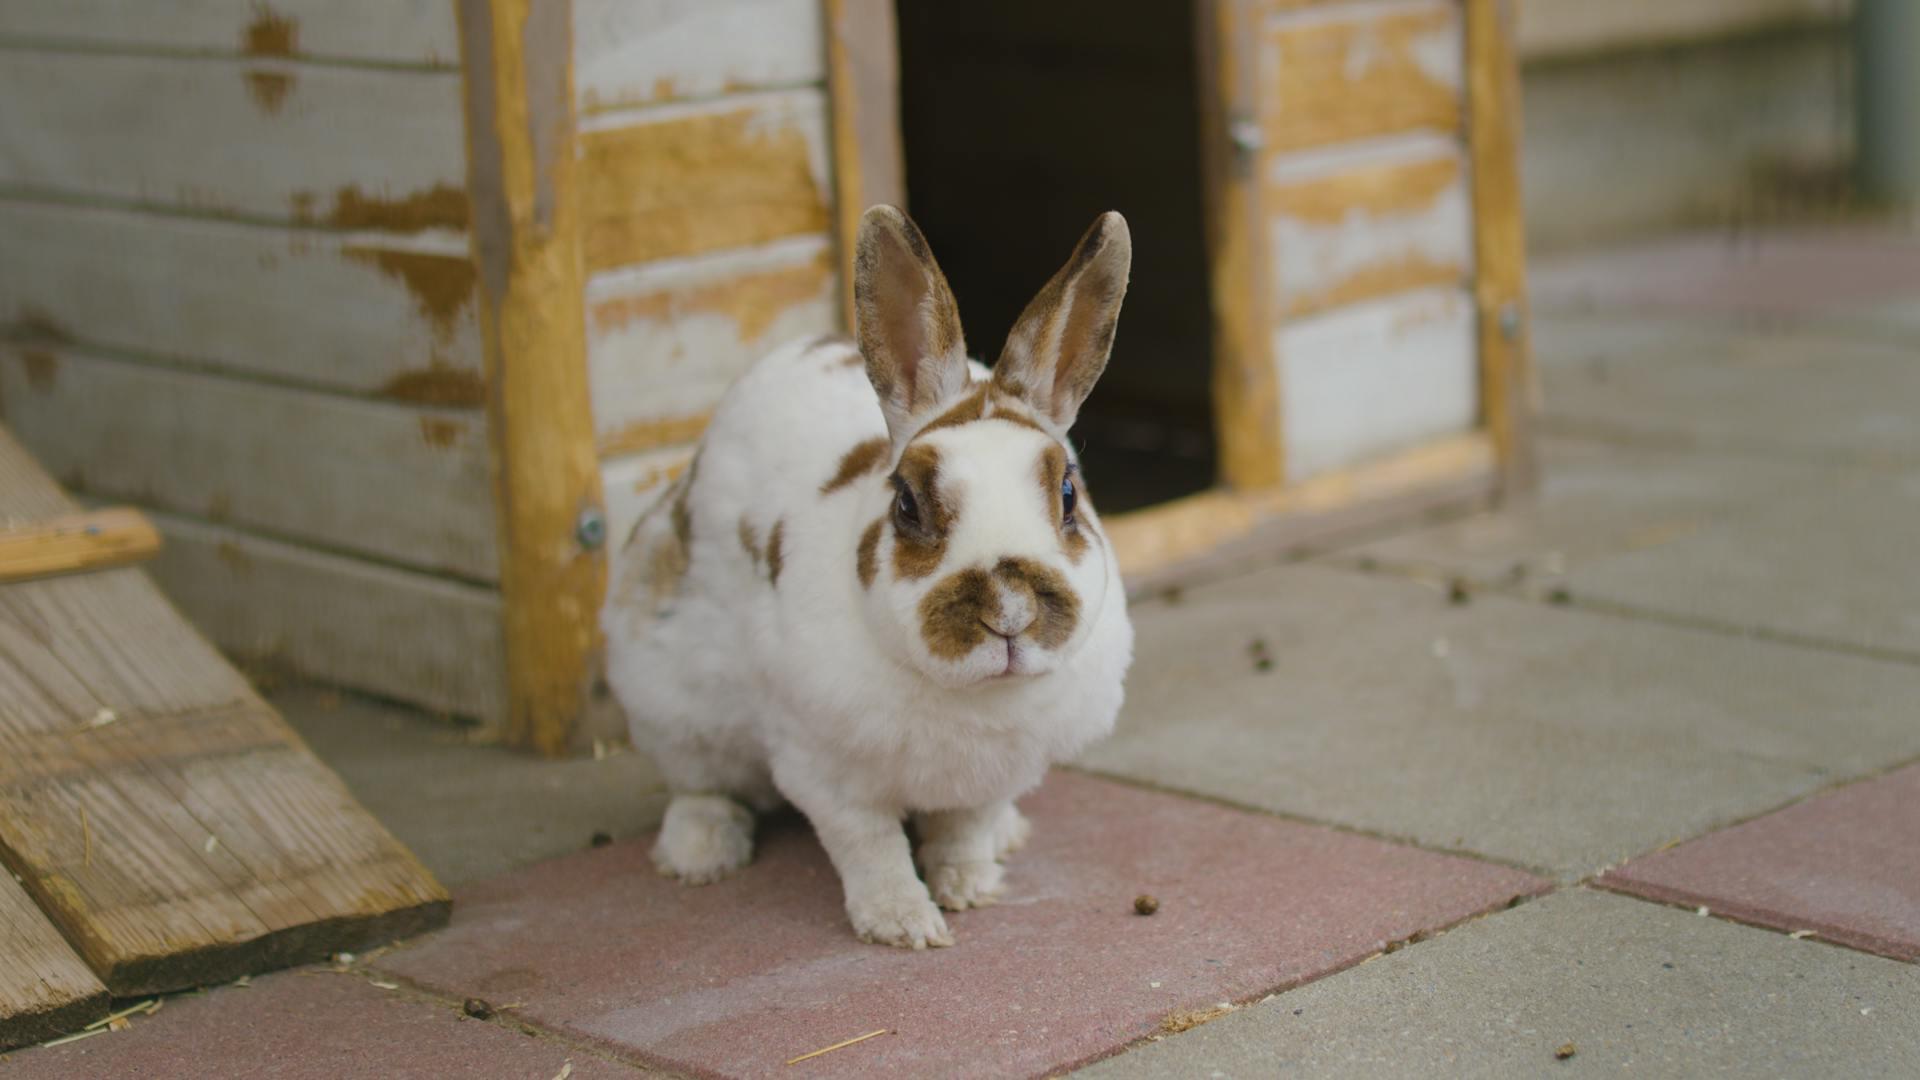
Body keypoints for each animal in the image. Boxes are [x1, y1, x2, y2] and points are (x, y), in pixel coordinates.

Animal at [599, 205, 1128, 945]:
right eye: (908, 505)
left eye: (1069, 495)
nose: (1009, 612)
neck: (975, 697)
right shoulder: (826, 771)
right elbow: (868, 847)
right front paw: (904, 923)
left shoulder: (990, 776)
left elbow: (963, 830)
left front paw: (970, 887)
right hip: (667, 697)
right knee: (701, 783)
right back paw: (701, 853)